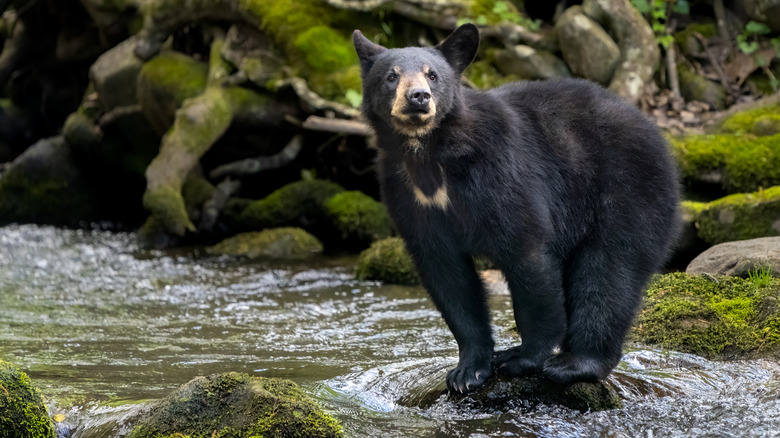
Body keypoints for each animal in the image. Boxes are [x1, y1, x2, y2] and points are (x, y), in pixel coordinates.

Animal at [352, 23, 680, 394]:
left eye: (432, 75)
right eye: (391, 76)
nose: (418, 97)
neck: (429, 153)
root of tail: (658, 134)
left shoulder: (499, 171)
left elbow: (526, 252)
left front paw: (523, 358)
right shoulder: (408, 195)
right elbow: (447, 275)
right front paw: (468, 370)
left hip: (627, 189)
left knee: (610, 270)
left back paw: (575, 363)